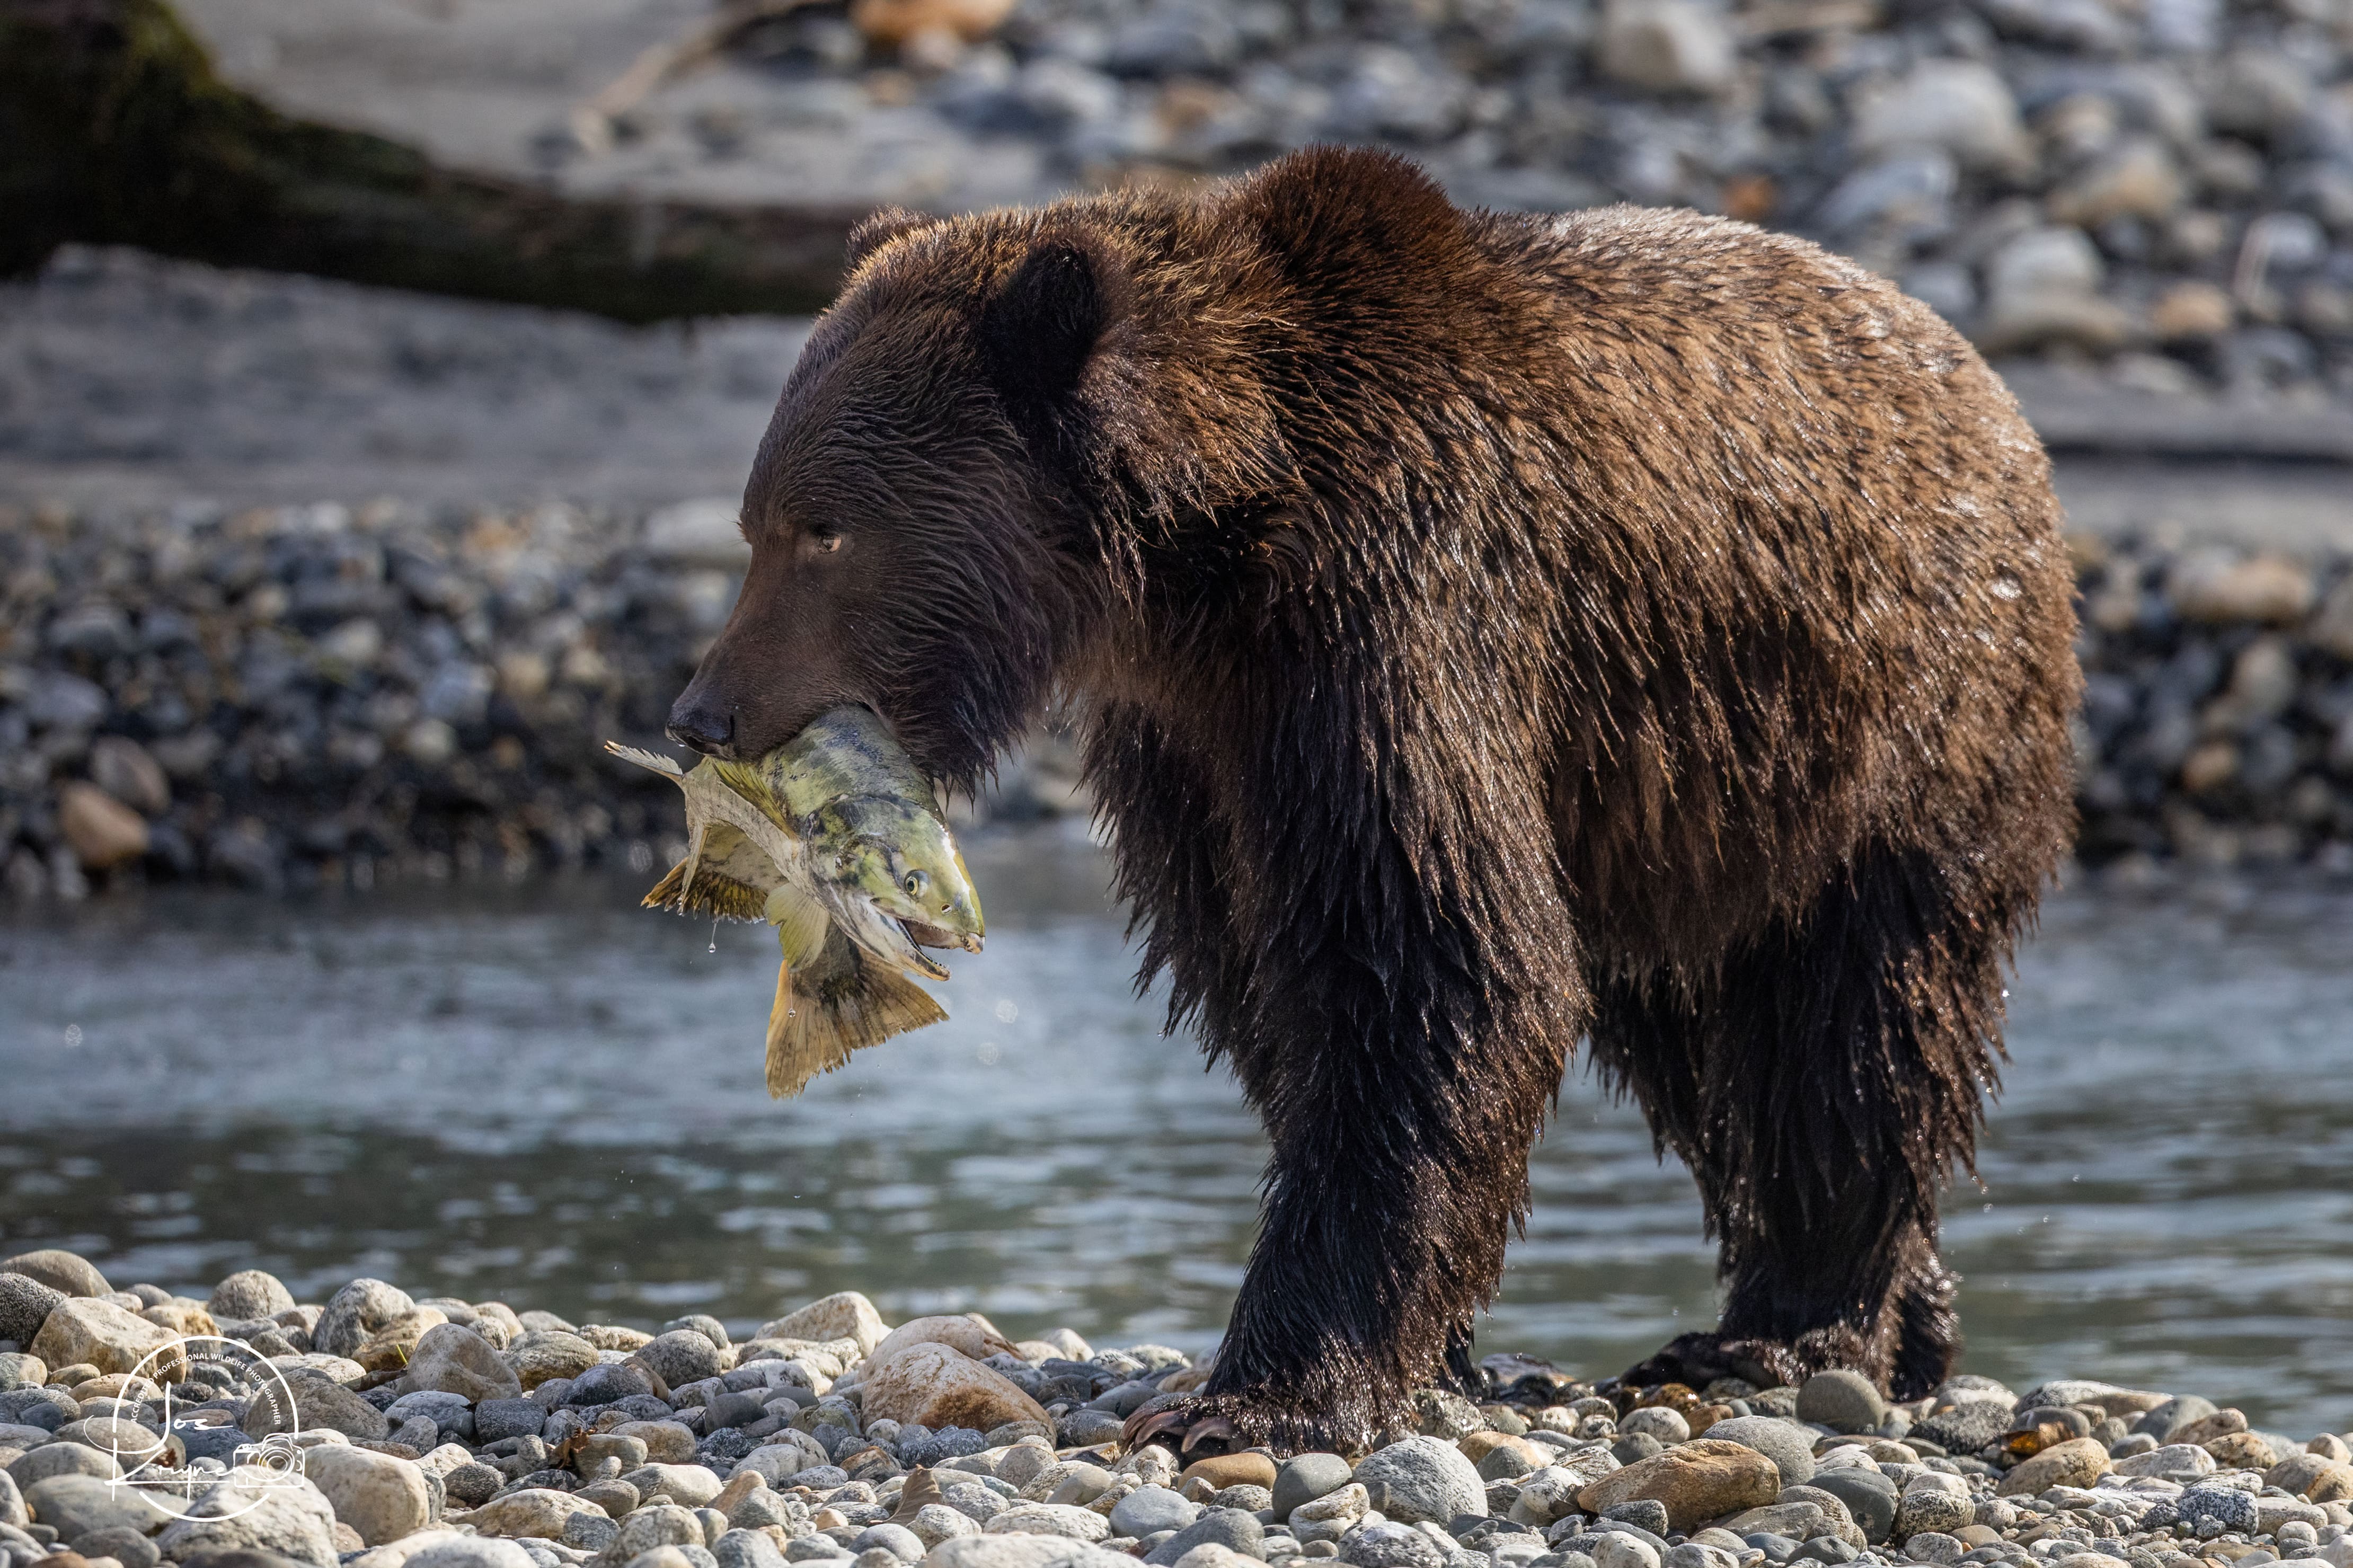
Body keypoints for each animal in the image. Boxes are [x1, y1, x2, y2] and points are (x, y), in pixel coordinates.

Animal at [666, 146, 2081, 1455]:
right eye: (757, 523)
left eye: (822, 529)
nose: (700, 712)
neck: (1208, 555)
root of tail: (1986, 387)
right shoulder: (1197, 747)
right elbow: (1266, 972)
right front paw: (1429, 1346)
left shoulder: (1401, 618)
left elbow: (1423, 962)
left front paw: (1263, 1393)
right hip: (1681, 812)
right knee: (1699, 1042)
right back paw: (1908, 1311)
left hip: (1899, 729)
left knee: (1850, 1021)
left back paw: (1792, 1329)